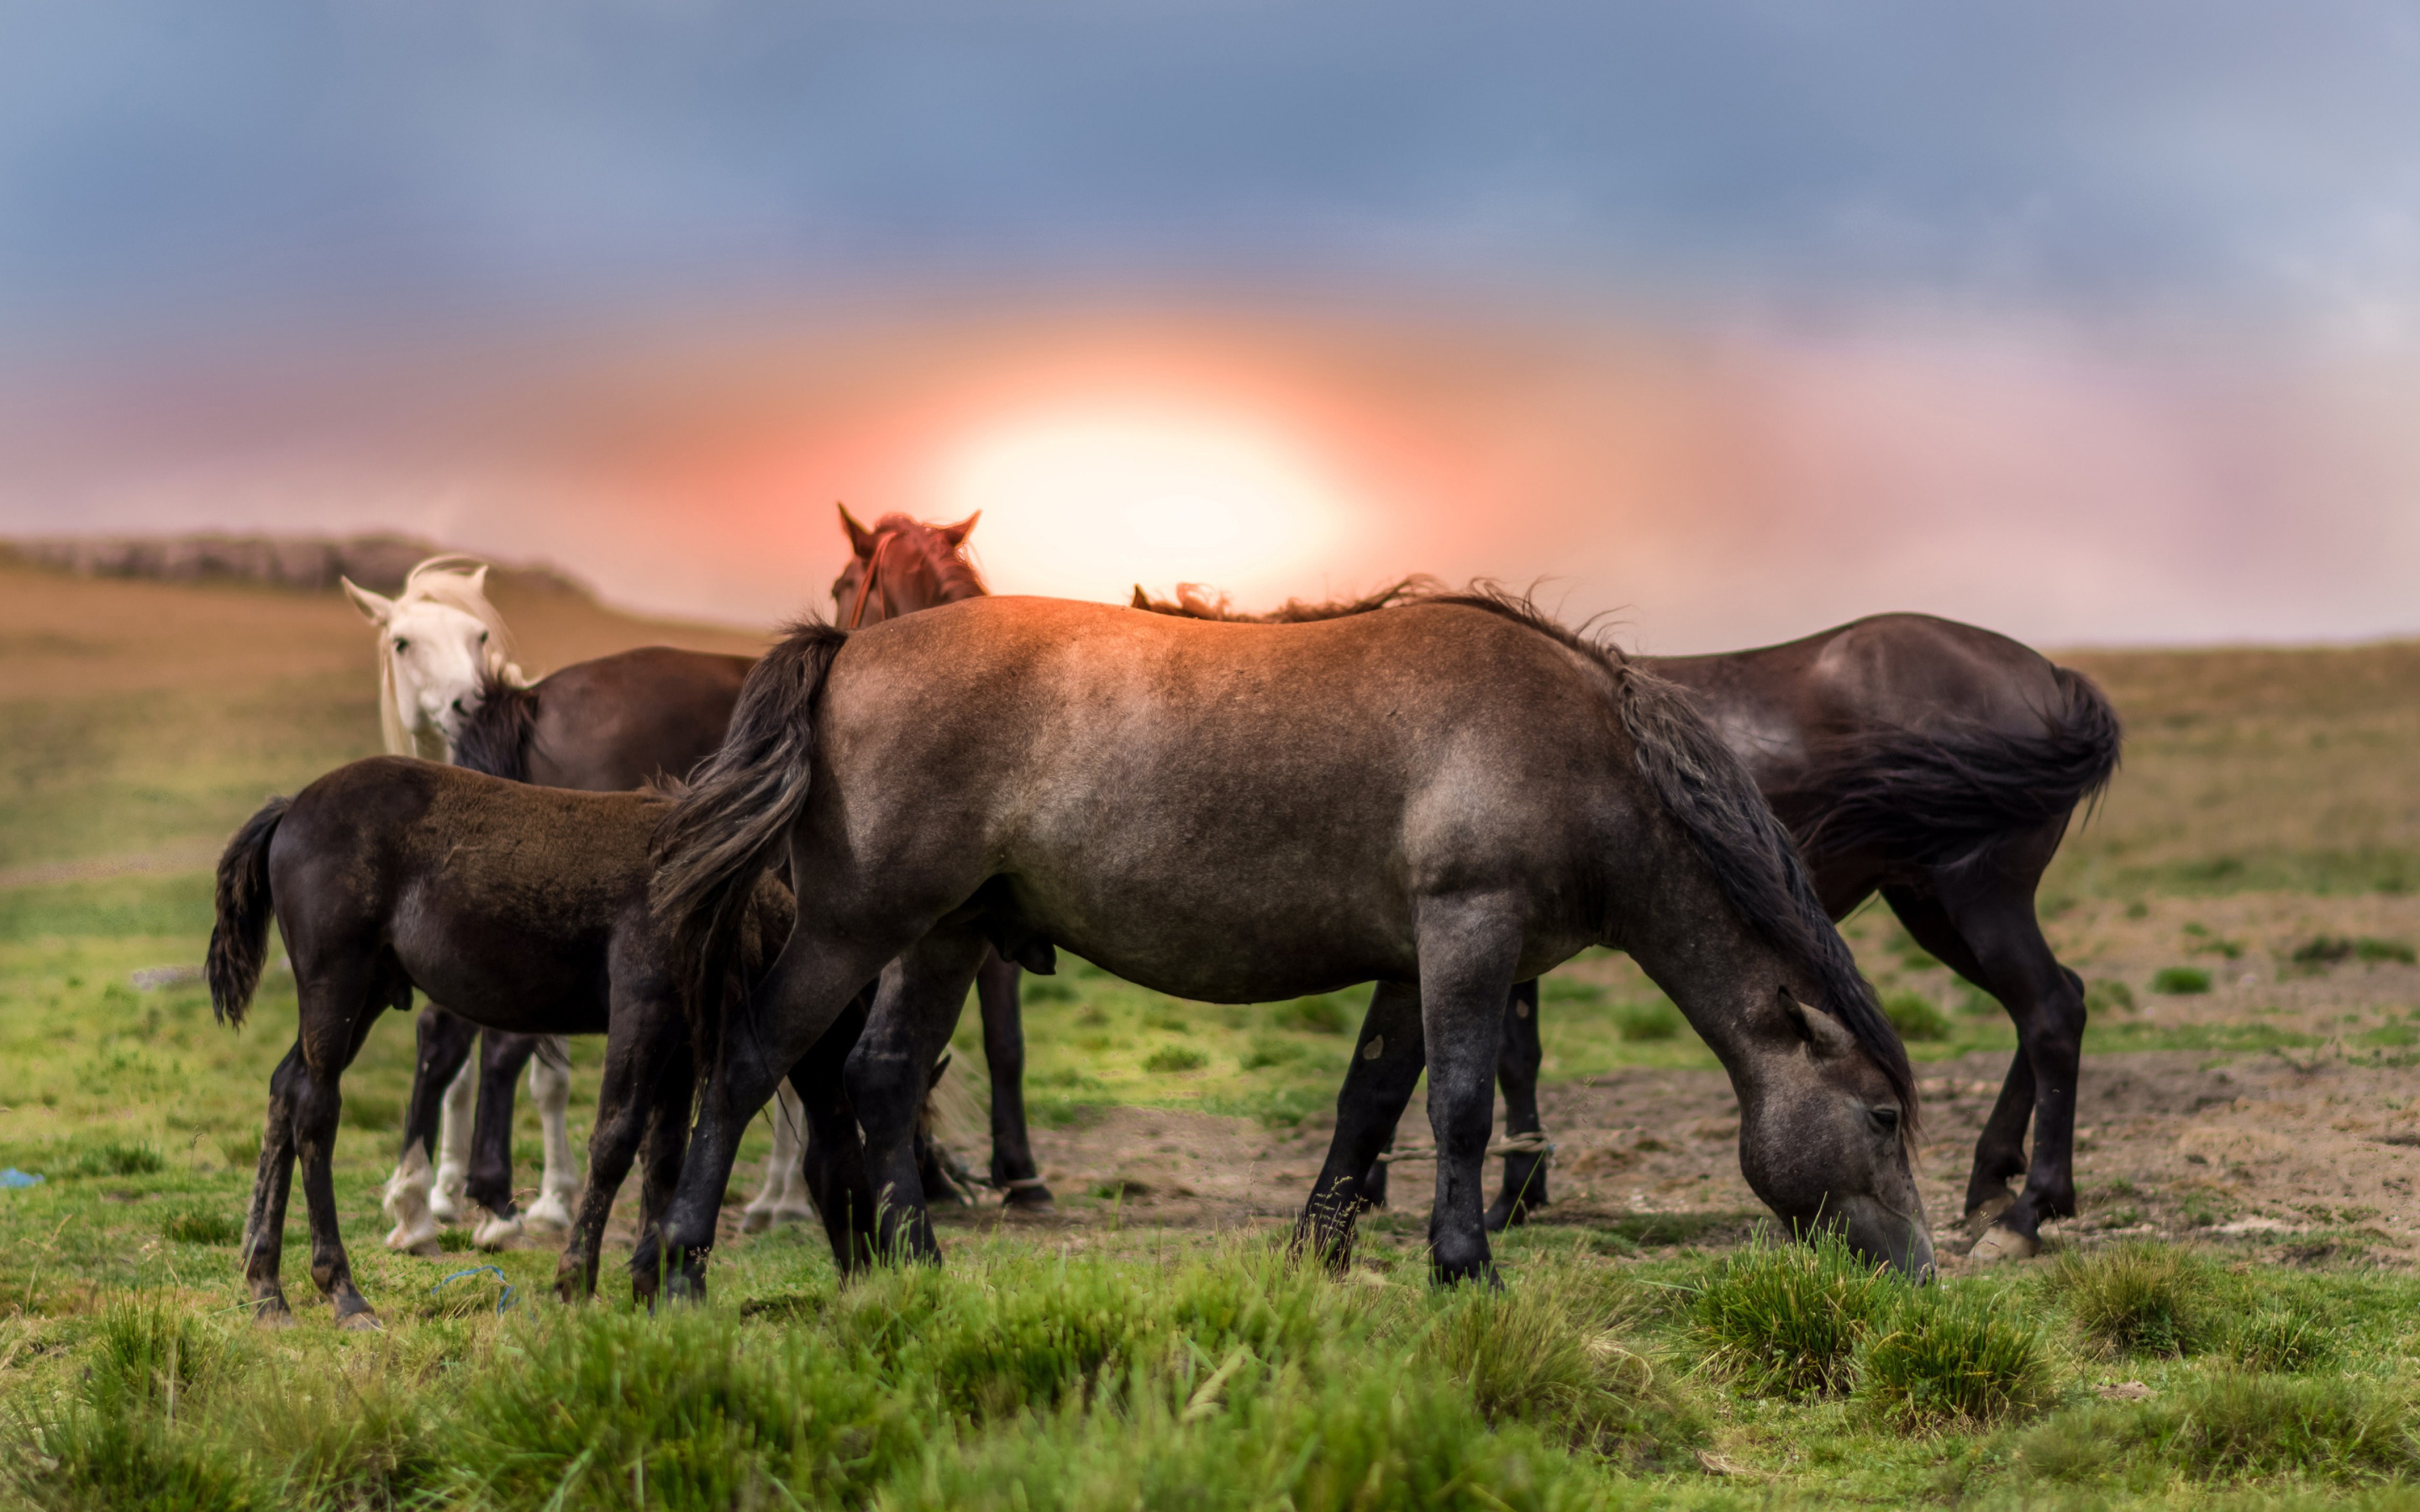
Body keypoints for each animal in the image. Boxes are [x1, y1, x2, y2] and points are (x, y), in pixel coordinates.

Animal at [341, 554, 581, 1248]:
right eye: (401, 642)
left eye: (479, 637)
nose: (468, 702)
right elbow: (457, 1076)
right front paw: (441, 1193)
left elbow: (548, 1081)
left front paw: (551, 1202)